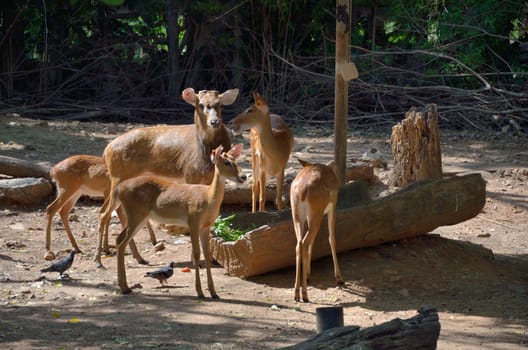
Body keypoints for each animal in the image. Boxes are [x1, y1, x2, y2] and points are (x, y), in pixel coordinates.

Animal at [94, 87, 238, 266]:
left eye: (219, 104)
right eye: (201, 104)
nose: (215, 122)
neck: (205, 159)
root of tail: (106, 151)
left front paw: (209, 258)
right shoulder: (190, 175)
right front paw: (195, 260)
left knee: (114, 210)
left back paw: (135, 256)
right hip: (117, 177)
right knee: (104, 213)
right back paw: (99, 259)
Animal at [113, 144, 245, 296]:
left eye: (236, 161)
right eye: (227, 162)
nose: (243, 177)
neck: (207, 198)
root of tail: (119, 189)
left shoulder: (206, 226)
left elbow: (207, 253)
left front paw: (213, 292)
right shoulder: (193, 220)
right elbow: (197, 253)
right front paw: (200, 291)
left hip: (139, 217)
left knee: (119, 238)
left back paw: (125, 286)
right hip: (135, 214)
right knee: (121, 242)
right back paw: (124, 288)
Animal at [290, 160, 344, 302]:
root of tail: (302, 190)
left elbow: (313, 242)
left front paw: (308, 273)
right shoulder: (333, 206)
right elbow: (332, 238)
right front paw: (339, 278)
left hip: (297, 217)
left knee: (299, 244)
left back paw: (296, 293)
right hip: (316, 216)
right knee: (305, 243)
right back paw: (304, 294)